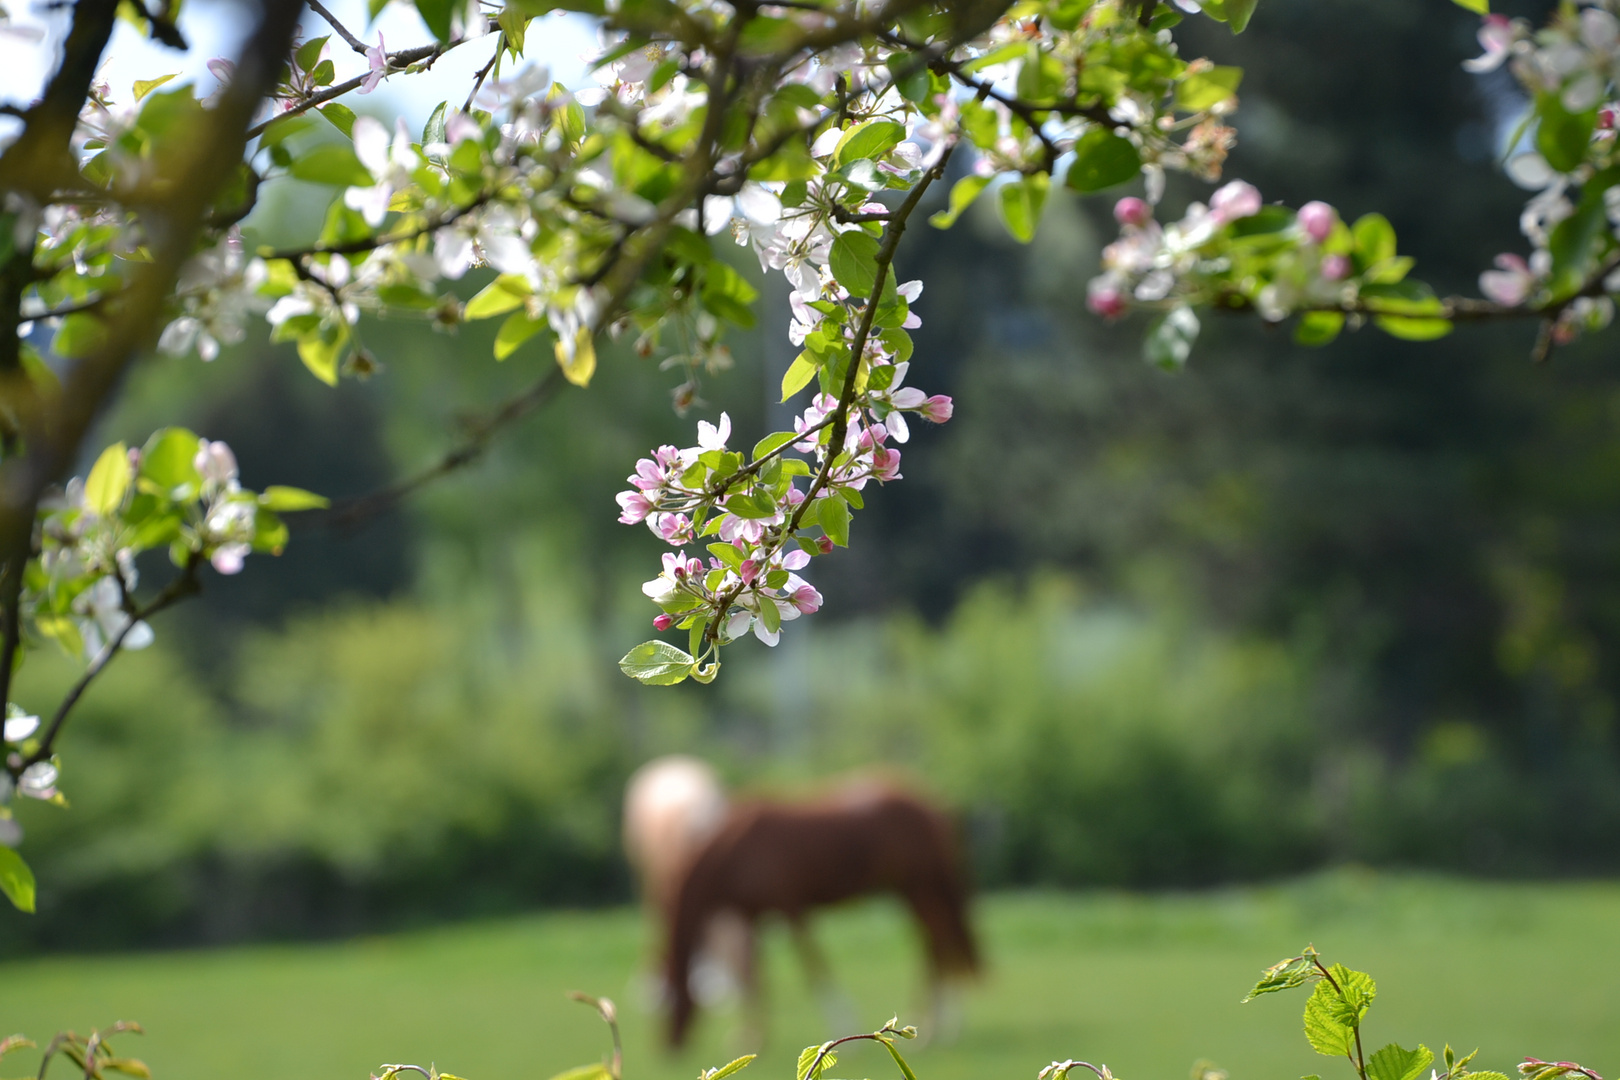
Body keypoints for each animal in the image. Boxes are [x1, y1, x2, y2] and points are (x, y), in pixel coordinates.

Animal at [660, 780, 984, 1049]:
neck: (735, 848)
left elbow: (813, 967)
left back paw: (938, 1026)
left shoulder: (790, 907)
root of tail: (934, 807)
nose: (669, 1046)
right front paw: (753, 1038)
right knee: (935, 943)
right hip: (911, 890)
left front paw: (844, 1027)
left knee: (939, 941)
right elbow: (755, 978)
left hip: (920, 887)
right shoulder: (750, 915)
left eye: (670, 997)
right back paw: (939, 1024)